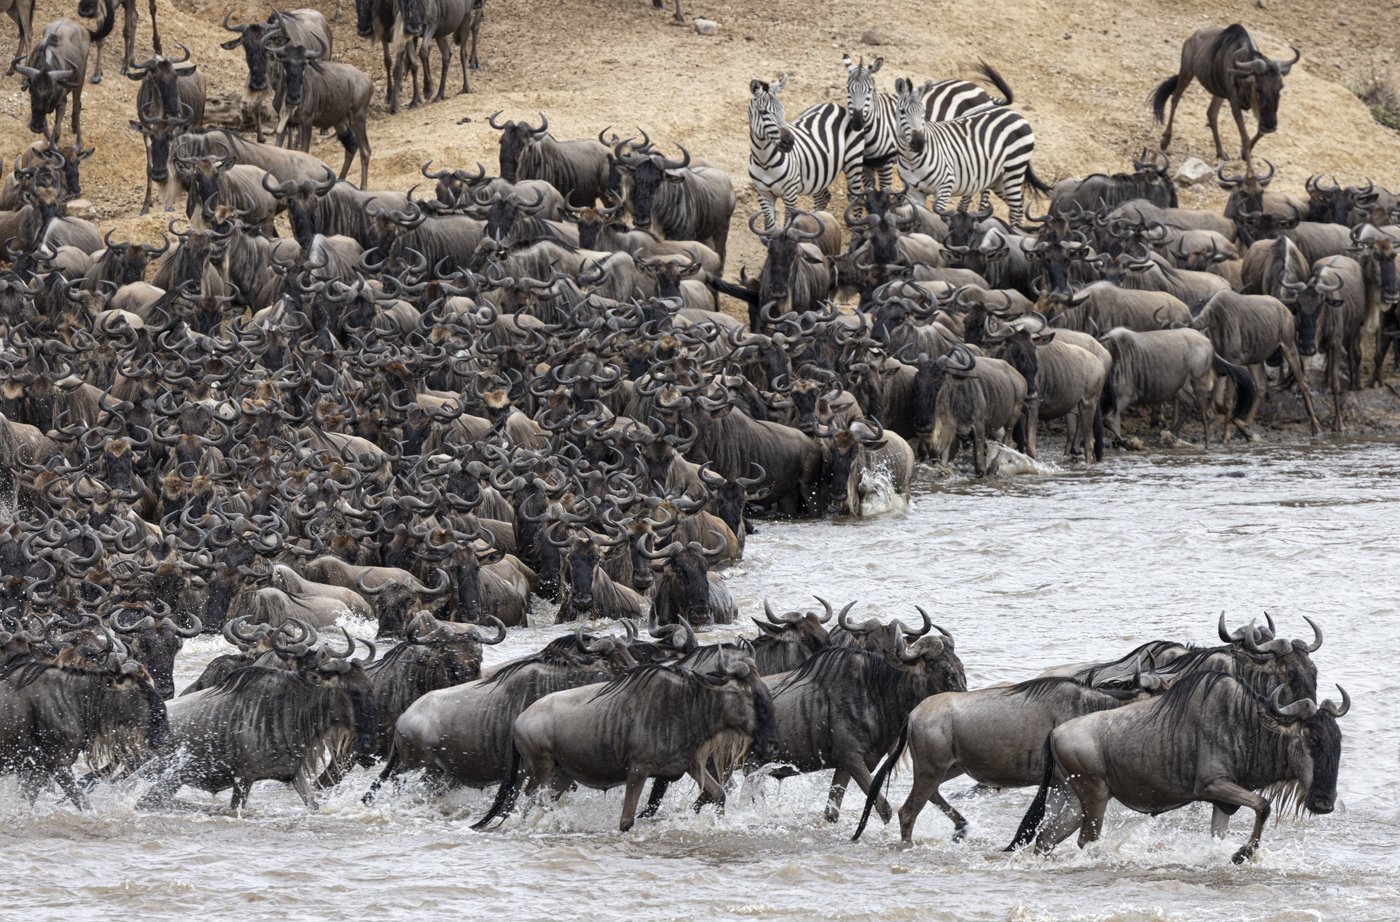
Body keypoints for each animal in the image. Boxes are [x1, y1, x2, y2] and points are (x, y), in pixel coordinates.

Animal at [744, 77, 862, 232]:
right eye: (763, 112)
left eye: (783, 109)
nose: (789, 141)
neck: (765, 161)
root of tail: (834, 105)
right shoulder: (763, 193)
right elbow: (769, 227)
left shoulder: (790, 194)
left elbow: (787, 225)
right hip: (820, 173)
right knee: (823, 197)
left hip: (853, 164)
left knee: (856, 200)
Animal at [840, 54, 1019, 191]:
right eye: (848, 89)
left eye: (870, 91)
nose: (857, 122)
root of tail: (981, 91)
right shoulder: (866, 165)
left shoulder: (886, 164)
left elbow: (884, 190)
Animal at [890, 75, 1047, 226]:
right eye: (902, 112)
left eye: (924, 112)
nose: (919, 143)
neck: (911, 159)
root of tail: (1015, 113)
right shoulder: (915, 192)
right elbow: (915, 214)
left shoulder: (945, 187)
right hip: (999, 179)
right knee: (1019, 205)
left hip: (1014, 170)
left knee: (1015, 209)